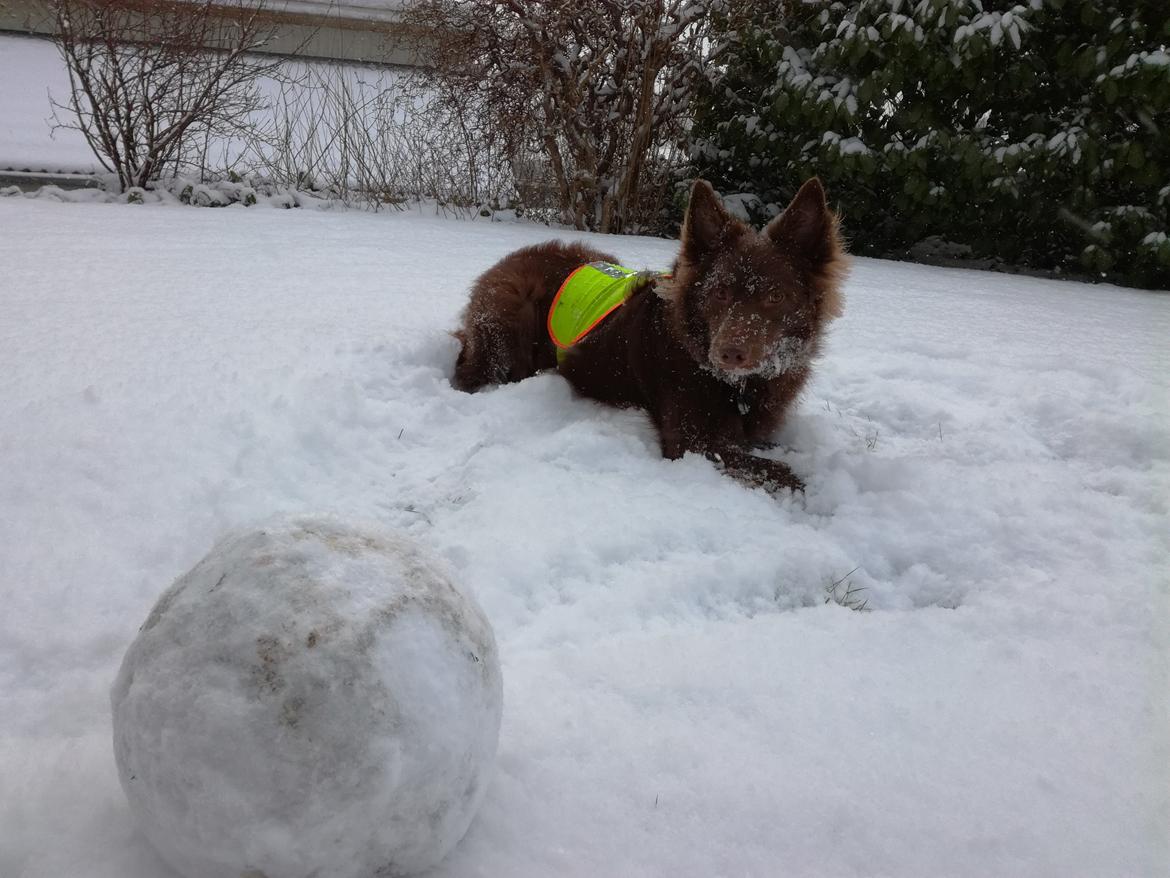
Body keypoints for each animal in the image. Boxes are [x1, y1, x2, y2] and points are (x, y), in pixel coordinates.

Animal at [451, 179, 847, 496]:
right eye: (719, 293)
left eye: (775, 296)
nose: (729, 354)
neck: (737, 386)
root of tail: (507, 259)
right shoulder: (691, 442)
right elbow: (786, 473)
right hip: (509, 315)